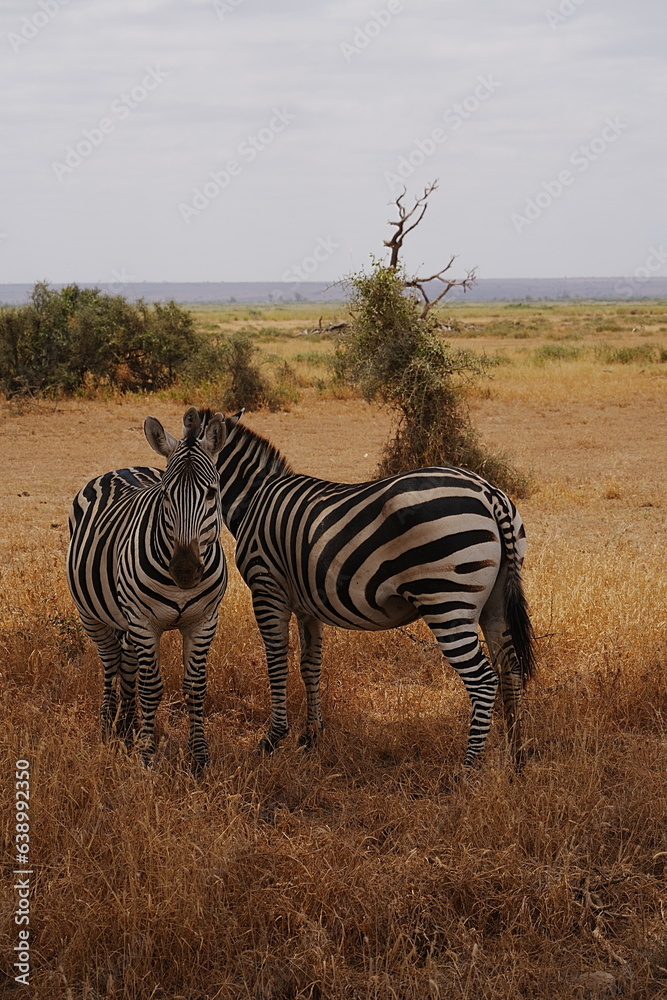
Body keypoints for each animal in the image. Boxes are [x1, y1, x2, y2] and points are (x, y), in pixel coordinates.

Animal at [67, 407, 228, 771]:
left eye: (212, 493)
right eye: (166, 494)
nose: (185, 571)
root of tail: (121, 469)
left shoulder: (204, 622)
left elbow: (195, 688)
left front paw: (199, 757)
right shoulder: (143, 621)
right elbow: (151, 687)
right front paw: (146, 756)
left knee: (126, 663)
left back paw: (127, 726)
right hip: (91, 616)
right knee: (111, 661)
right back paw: (108, 726)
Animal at [212, 410, 535, 771]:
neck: (254, 500)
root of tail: (488, 492)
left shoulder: (267, 587)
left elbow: (277, 661)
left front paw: (272, 740)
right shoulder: (308, 605)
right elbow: (310, 664)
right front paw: (310, 737)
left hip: (447, 599)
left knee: (483, 681)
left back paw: (467, 770)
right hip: (496, 601)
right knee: (511, 669)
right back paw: (517, 758)